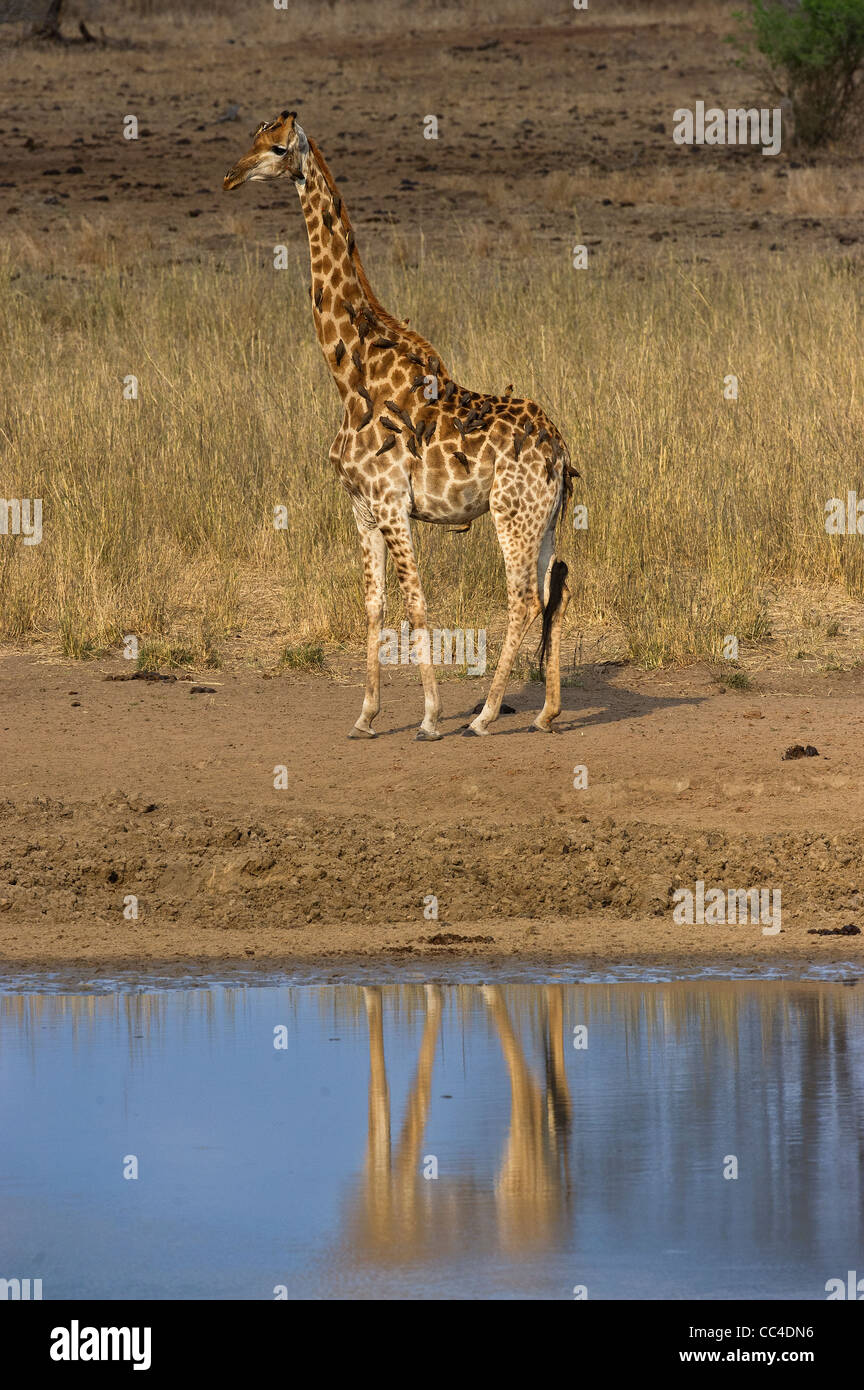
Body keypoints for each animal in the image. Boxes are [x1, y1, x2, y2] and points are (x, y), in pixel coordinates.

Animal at [223, 111, 577, 739]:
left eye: (279, 148)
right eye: (254, 138)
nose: (232, 176)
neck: (350, 378)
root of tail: (562, 452)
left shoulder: (392, 504)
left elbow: (416, 602)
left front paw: (431, 717)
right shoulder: (362, 509)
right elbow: (375, 604)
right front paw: (365, 716)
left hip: (511, 513)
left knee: (521, 598)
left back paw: (485, 715)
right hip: (544, 519)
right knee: (551, 588)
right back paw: (545, 712)